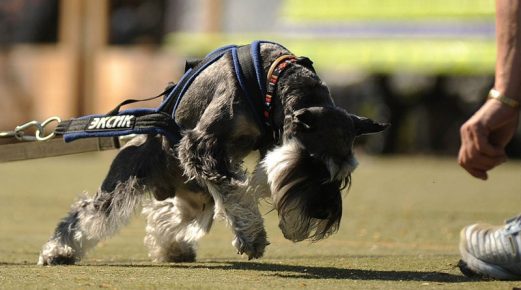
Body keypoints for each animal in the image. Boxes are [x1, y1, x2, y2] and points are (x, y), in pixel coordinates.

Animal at [37, 40, 386, 266]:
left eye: (343, 176)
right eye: (310, 163)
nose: (324, 213)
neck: (272, 80)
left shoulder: (257, 150)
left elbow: (246, 187)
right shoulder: (202, 146)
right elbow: (237, 195)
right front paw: (252, 239)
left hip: (195, 193)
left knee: (171, 213)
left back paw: (173, 248)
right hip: (127, 180)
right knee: (87, 213)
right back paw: (59, 251)